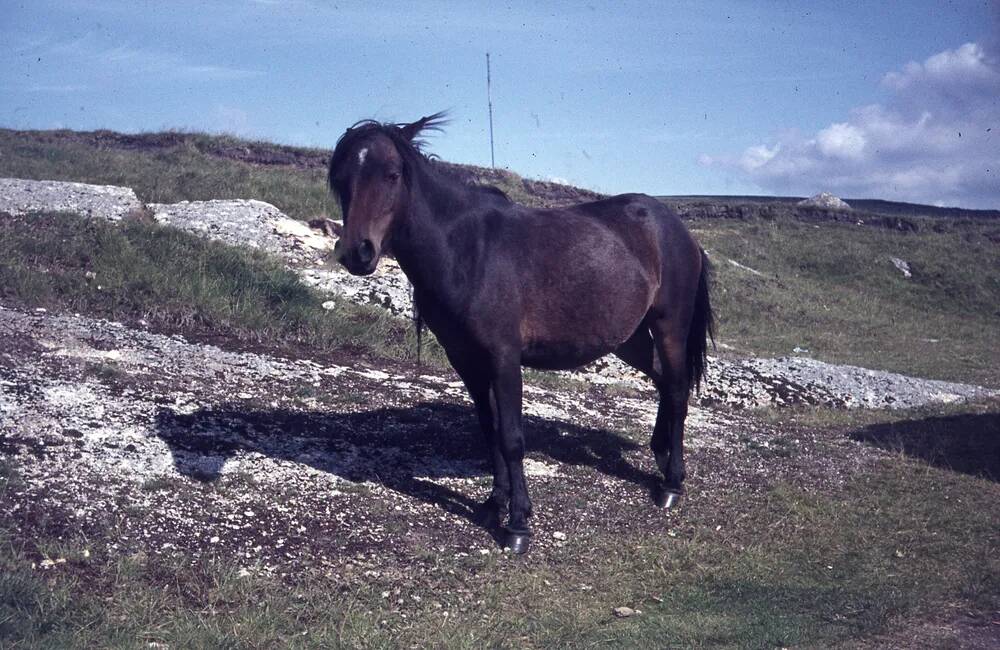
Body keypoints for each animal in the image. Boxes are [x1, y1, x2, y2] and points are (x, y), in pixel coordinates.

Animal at [326, 112, 712, 552]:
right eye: (341, 178)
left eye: (392, 175)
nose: (357, 253)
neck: (466, 250)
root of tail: (678, 230)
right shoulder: (466, 360)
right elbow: (489, 429)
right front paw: (494, 503)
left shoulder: (504, 357)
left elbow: (511, 437)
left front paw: (518, 524)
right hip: (628, 339)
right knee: (664, 382)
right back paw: (660, 456)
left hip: (669, 326)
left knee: (678, 391)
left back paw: (672, 483)